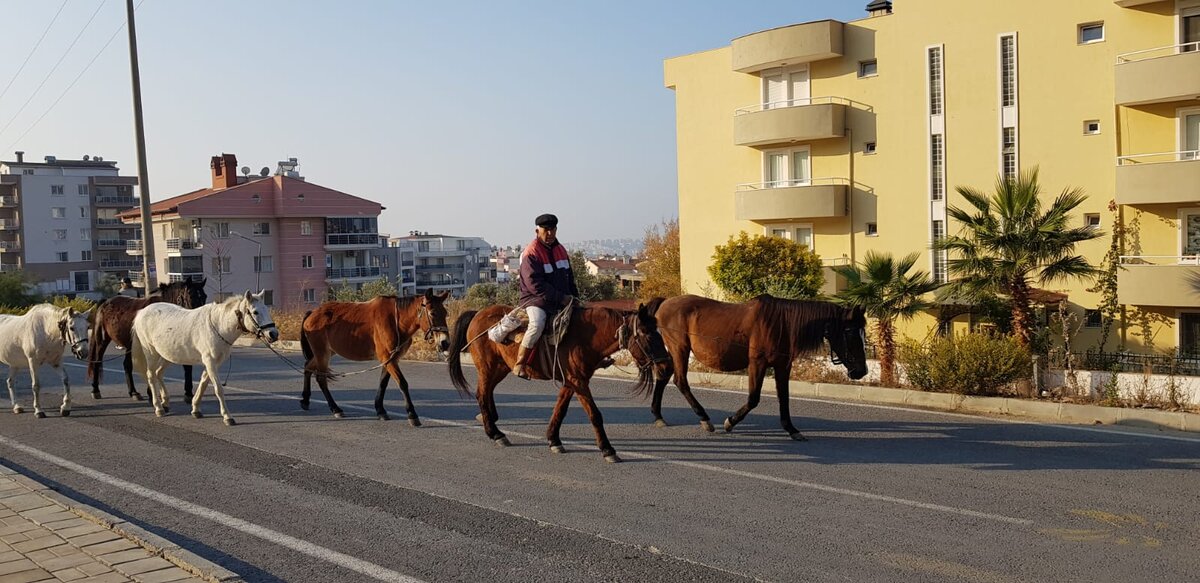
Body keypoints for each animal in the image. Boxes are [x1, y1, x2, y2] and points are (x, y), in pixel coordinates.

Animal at [131, 290, 278, 424]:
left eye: (267, 309)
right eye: (255, 312)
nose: (274, 334)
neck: (218, 326)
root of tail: (141, 313)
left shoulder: (214, 362)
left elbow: (203, 383)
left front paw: (196, 409)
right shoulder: (210, 361)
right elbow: (218, 389)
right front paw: (227, 416)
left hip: (167, 355)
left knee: (158, 373)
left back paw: (165, 403)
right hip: (151, 353)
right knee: (151, 375)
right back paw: (158, 408)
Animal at [298, 290, 451, 424]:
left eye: (445, 313)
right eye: (432, 313)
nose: (445, 343)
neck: (396, 320)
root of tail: (312, 314)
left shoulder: (391, 359)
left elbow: (383, 383)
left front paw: (380, 410)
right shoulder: (387, 358)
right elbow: (402, 383)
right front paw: (412, 414)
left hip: (328, 351)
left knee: (307, 367)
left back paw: (305, 400)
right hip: (322, 352)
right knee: (321, 378)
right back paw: (335, 408)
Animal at [448, 302, 667, 463]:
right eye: (647, 335)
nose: (665, 365)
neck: (585, 337)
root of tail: (478, 313)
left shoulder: (572, 381)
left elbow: (560, 409)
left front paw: (554, 439)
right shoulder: (578, 381)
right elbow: (595, 414)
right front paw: (607, 449)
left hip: (501, 367)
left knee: (488, 392)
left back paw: (490, 419)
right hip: (488, 367)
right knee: (481, 393)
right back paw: (495, 433)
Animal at [648, 293, 864, 439]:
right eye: (851, 333)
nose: (862, 371)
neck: (780, 323)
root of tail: (665, 302)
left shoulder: (782, 365)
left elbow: (784, 398)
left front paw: (791, 429)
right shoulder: (757, 363)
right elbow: (753, 399)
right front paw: (730, 422)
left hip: (673, 351)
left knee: (664, 375)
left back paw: (658, 415)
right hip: (680, 349)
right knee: (680, 381)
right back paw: (704, 418)